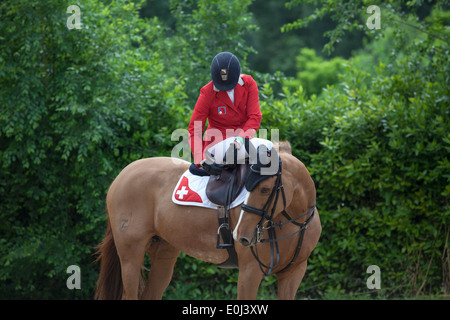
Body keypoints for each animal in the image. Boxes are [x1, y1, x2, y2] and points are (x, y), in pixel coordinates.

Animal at [94, 146, 320, 298]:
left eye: (265, 190)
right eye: (248, 188)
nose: (241, 236)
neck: (295, 222)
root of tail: (122, 175)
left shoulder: (293, 274)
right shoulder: (250, 273)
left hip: (163, 255)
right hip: (130, 257)